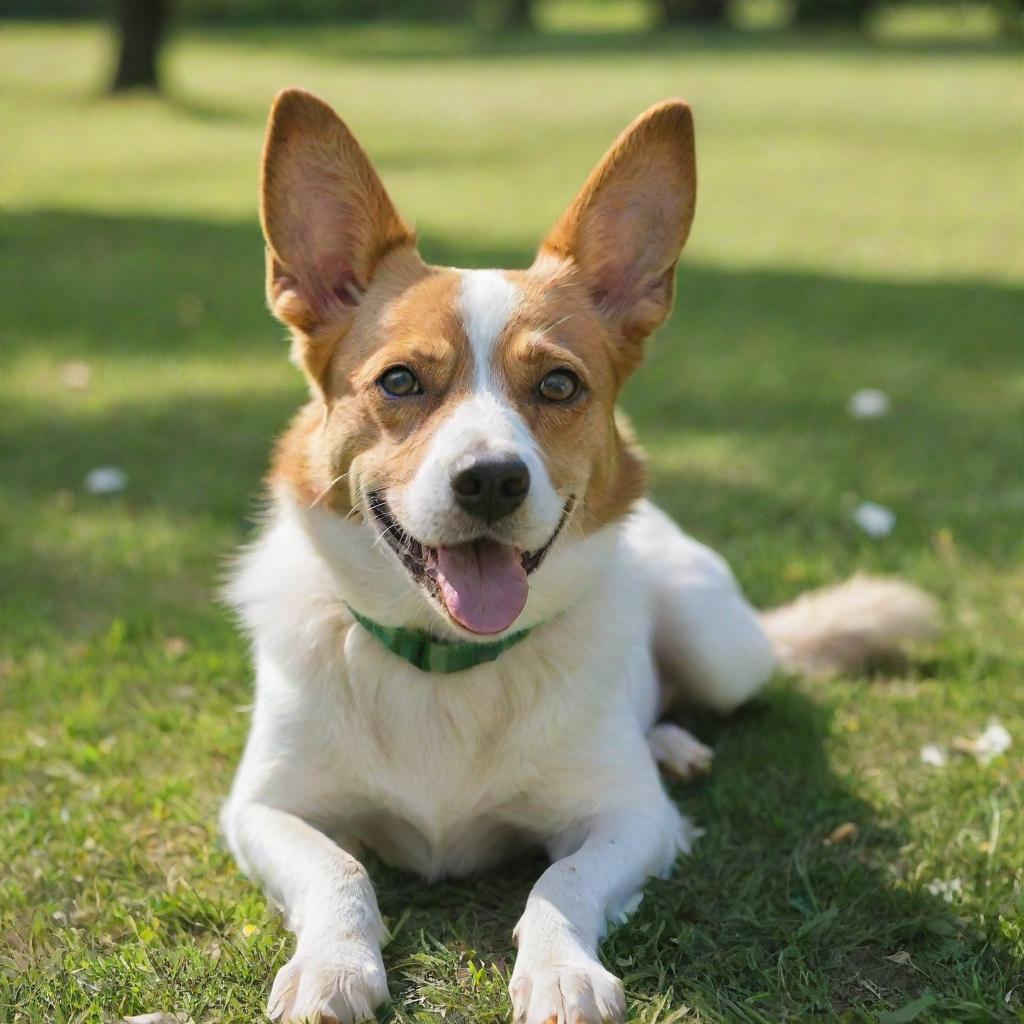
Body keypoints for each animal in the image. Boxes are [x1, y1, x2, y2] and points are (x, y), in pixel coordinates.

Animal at [222, 90, 937, 1024]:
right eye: (401, 381)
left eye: (558, 385)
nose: (492, 481)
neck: (449, 664)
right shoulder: (260, 809)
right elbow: (336, 867)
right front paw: (333, 964)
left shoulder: (631, 822)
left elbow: (562, 880)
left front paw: (562, 969)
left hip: (719, 647)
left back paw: (672, 745)